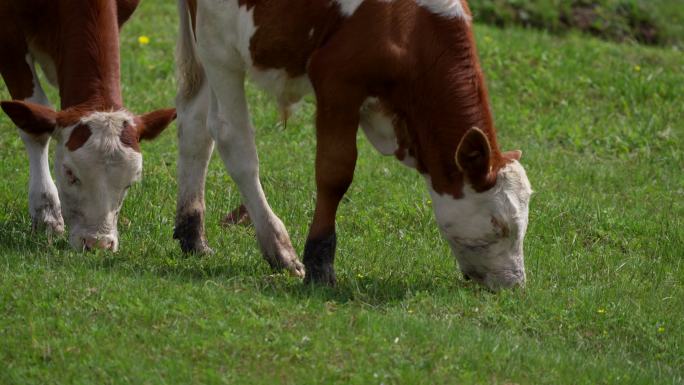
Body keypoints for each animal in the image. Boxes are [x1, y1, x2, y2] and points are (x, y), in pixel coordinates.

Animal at [0, 0, 178, 250]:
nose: (97, 244)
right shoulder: (7, 32)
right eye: (69, 173)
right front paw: (47, 214)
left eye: (130, 183)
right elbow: (35, 128)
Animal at [174, 0, 532, 288]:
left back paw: (192, 234)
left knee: (194, 123)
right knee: (231, 135)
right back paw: (278, 247)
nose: (515, 284)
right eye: (498, 224)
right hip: (218, 42)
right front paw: (319, 264)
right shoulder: (337, 82)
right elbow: (335, 173)